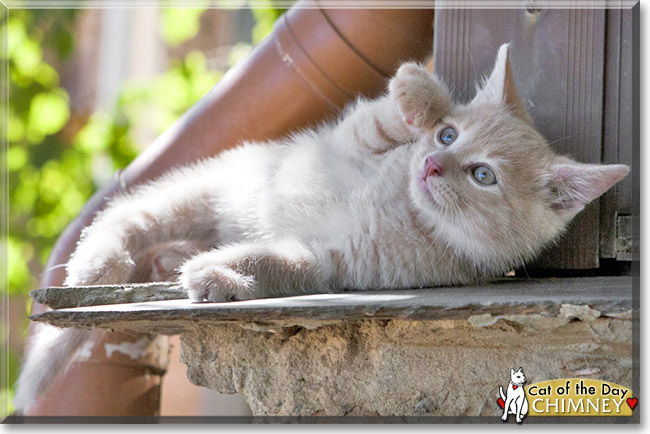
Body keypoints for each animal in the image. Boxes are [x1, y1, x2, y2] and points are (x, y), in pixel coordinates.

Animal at [12, 45, 624, 414]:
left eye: (482, 175)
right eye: (447, 136)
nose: (430, 165)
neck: (404, 208)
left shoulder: (336, 260)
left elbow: (278, 263)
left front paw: (222, 275)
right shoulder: (349, 140)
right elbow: (381, 120)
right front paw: (417, 93)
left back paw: (173, 259)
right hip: (208, 189)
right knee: (124, 217)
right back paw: (101, 262)